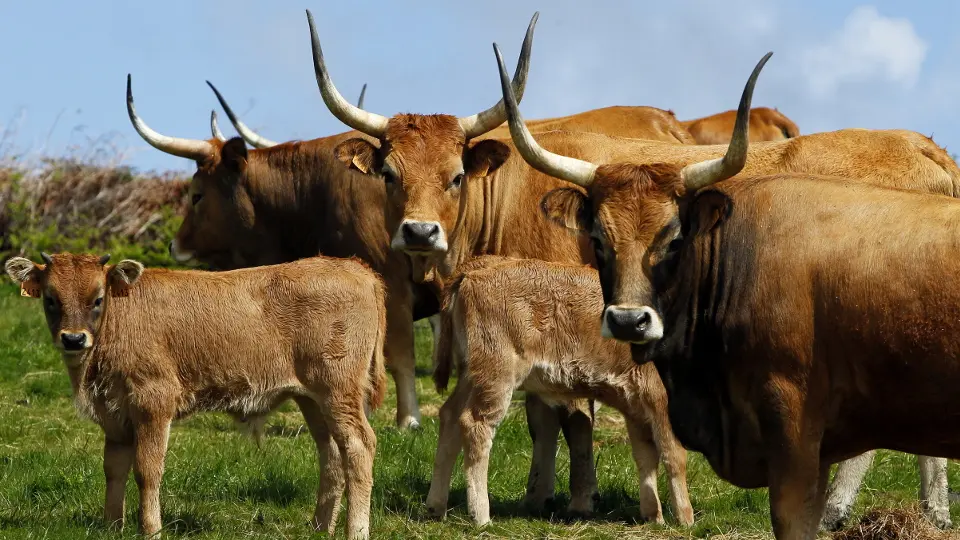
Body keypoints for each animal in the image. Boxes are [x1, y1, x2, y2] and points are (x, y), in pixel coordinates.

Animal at [4, 252, 385, 539]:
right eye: (51, 300)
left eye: (97, 299)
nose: (73, 338)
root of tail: (354, 267)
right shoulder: (115, 416)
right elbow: (113, 469)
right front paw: (112, 527)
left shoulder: (153, 403)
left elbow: (147, 470)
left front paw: (151, 529)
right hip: (313, 399)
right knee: (331, 454)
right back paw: (320, 528)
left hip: (338, 392)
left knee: (359, 446)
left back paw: (356, 531)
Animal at [426, 255, 693, 527]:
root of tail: (481, 264)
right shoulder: (662, 400)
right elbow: (674, 456)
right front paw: (685, 518)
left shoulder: (636, 405)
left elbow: (646, 457)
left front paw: (653, 516)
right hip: (496, 373)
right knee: (475, 425)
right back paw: (481, 515)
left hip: (472, 374)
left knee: (450, 417)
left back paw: (435, 507)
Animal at [491, 47, 957, 532]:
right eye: (598, 239)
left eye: (674, 238)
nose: (628, 321)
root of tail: (921, 145)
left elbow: (560, 413)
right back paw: (935, 511)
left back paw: (841, 508)